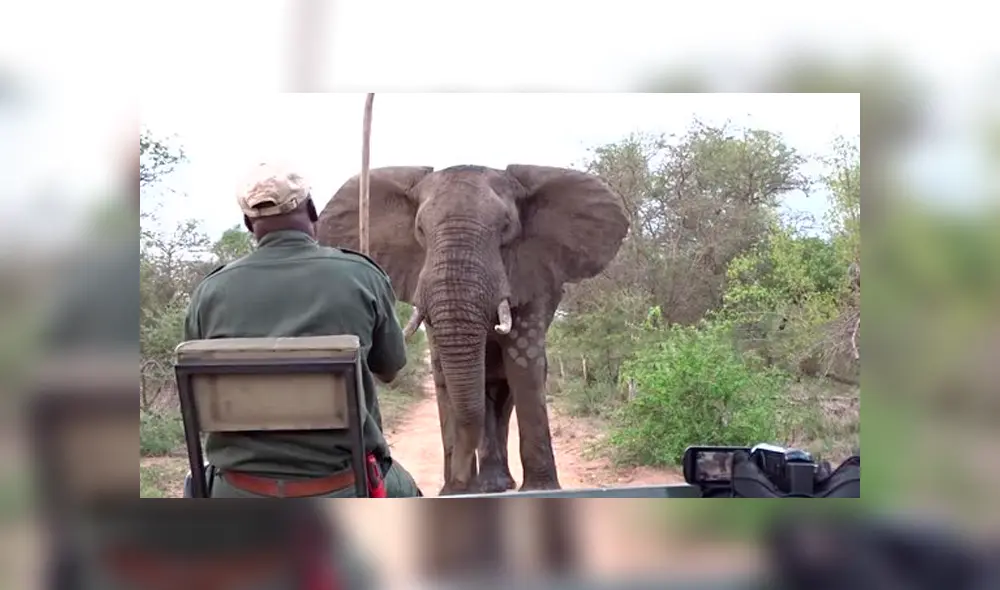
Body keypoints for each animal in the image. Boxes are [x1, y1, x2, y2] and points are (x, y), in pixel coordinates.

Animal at [317, 164, 629, 495]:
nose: (459, 481)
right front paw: (456, 493)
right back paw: (490, 486)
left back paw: (494, 484)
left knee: (504, 392)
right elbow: (443, 373)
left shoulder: (533, 278)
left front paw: (539, 491)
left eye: (506, 227)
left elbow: (524, 369)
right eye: (420, 230)